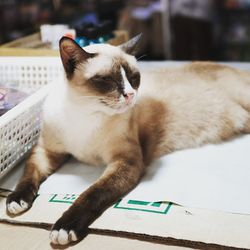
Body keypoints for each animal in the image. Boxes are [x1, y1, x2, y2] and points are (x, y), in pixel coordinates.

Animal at [5, 34, 250, 245]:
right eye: (108, 80)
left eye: (134, 78)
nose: (131, 94)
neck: (85, 115)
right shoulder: (47, 151)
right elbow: (27, 175)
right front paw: (16, 201)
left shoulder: (126, 161)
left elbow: (91, 193)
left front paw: (64, 228)